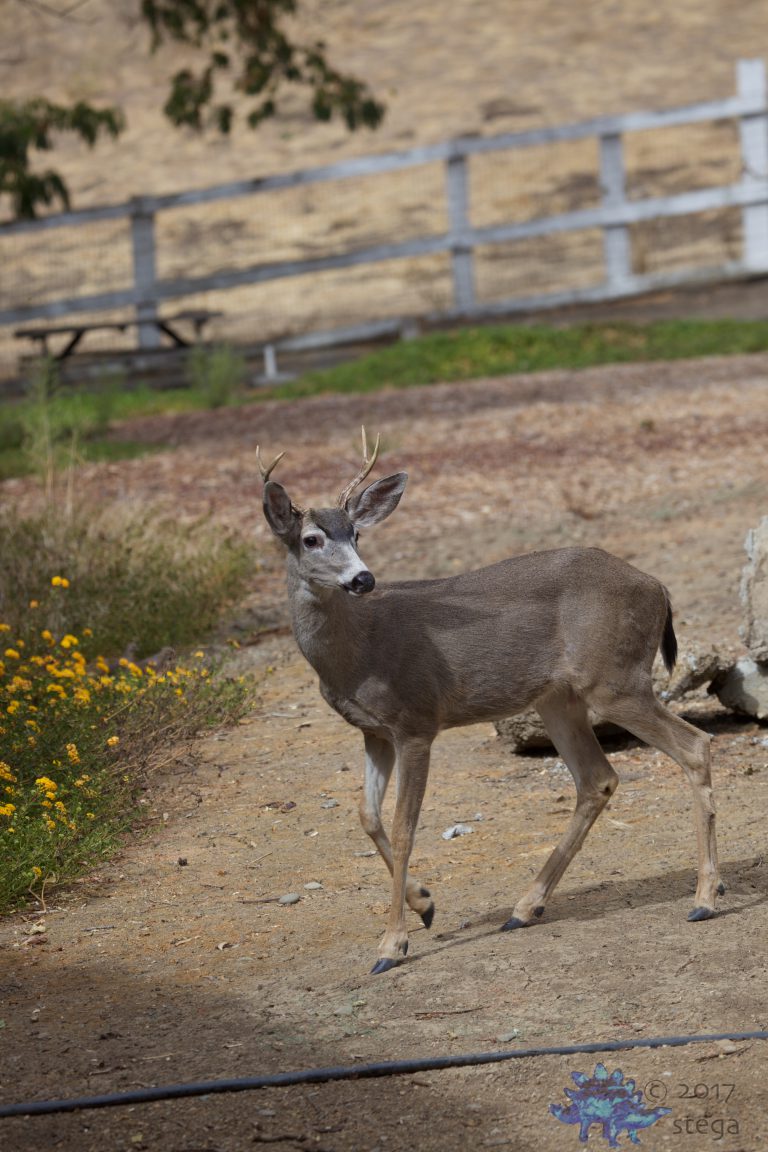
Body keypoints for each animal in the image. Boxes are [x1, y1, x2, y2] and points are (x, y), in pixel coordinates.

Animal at [259, 429, 721, 974]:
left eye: (356, 534)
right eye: (312, 539)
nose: (362, 579)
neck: (357, 653)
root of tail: (658, 586)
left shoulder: (416, 721)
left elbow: (404, 827)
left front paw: (391, 945)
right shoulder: (374, 731)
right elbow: (368, 818)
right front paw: (425, 904)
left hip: (614, 679)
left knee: (694, 745)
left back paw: (705, 898)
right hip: (558, 697)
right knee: (597, 778)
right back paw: (525, 907)